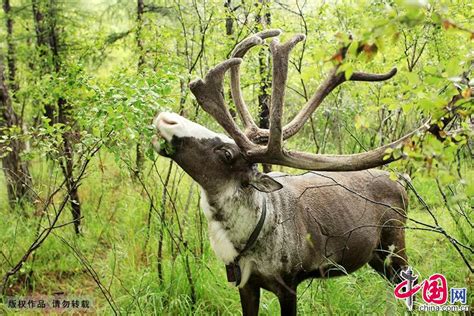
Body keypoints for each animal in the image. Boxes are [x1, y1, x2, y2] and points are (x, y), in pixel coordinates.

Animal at [153, 29, 430, 314]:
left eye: (227, 153)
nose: (166, 118)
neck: (244, 240)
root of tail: (400, 182)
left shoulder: (288, 284)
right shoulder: (246, 284)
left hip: (394, 244)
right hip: (376, 257)